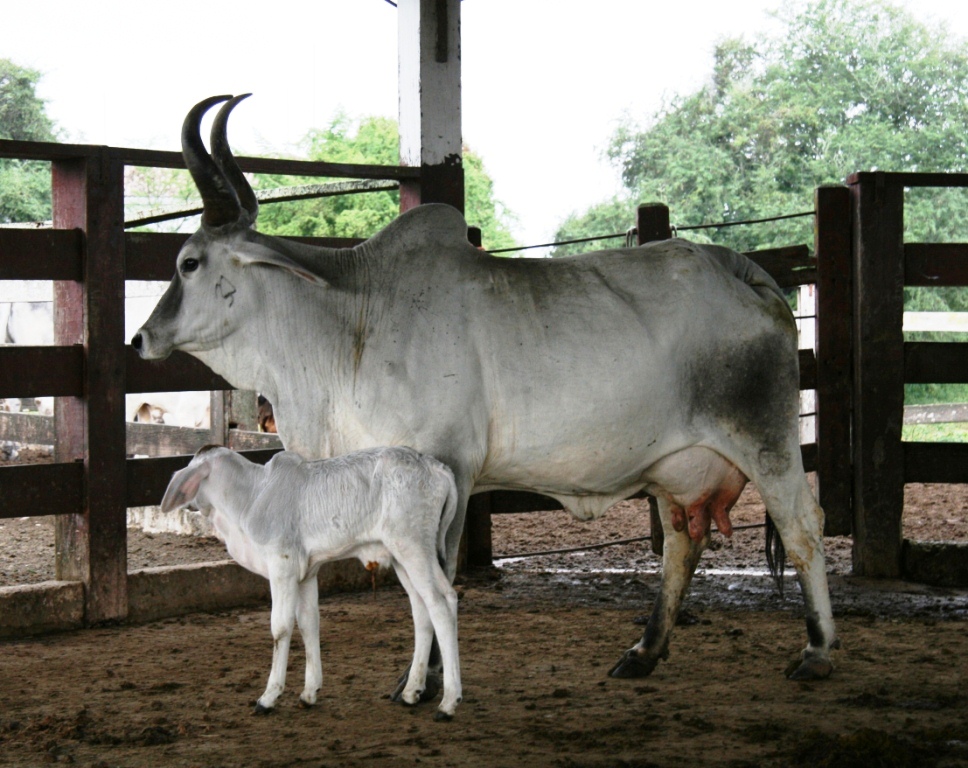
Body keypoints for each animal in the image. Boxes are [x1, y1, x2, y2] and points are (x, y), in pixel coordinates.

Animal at [161, 444, 464, 720]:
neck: (251, 496)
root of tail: (436, 467)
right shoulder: (306, 574)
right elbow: (309, 624)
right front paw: (309, 692)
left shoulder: (282, 567)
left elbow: (280, 627)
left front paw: (269, 697)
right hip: (402, 557)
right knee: (423, 609)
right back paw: (412, 691)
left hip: (413, 547)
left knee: (441, 603)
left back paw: (448, 702)